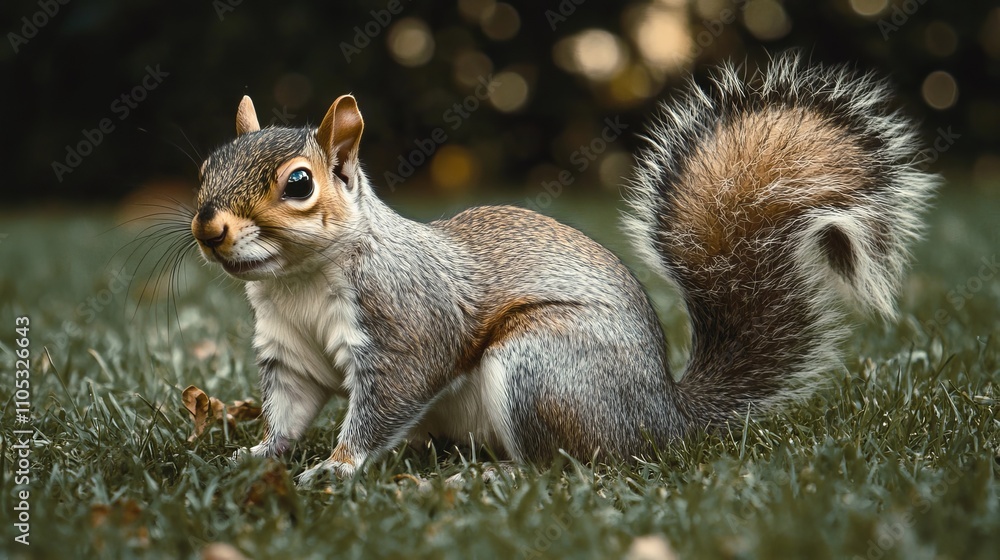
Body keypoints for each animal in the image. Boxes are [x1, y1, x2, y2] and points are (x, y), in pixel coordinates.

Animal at [190, 54, 936, 484]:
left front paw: (338, 467)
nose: (208, 226)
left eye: (298, 185)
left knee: (567, 468)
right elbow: (291, 409)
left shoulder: (405, 322)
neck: (297, 282)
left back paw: (490, 480)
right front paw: (255, 456)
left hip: (545, 367)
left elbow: (388, 397)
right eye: (205, 167)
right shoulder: (290, 351)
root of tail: (663, 419)